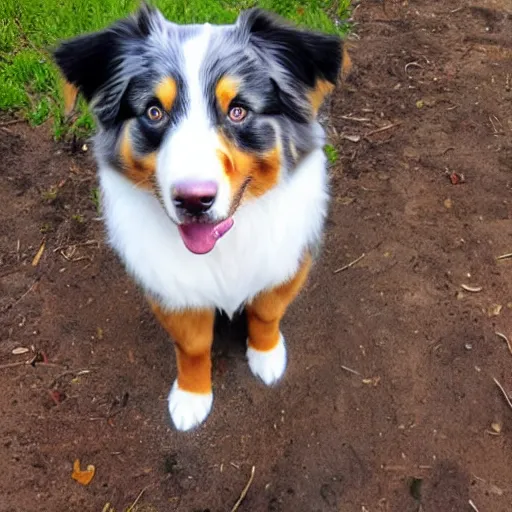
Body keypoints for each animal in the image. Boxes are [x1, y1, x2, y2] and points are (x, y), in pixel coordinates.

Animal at [55, 4, 348, 430]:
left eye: (238, 111)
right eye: (154, 112)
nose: (194, 200)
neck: (223, 245)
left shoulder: (289, 263)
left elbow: (266, 312)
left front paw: (266, 356)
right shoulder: (173, 290)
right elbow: (193, 346)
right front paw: (192, 397)